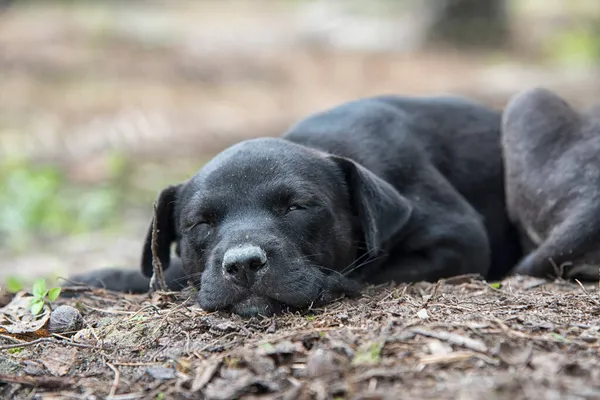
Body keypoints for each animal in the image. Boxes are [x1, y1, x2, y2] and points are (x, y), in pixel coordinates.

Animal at [69, 95, 520, 318]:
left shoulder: (460, 239)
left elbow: (374, 269)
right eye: (200, 223)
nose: (243, 264)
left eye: (298, 207)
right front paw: (101, 276)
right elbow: (167, 274)